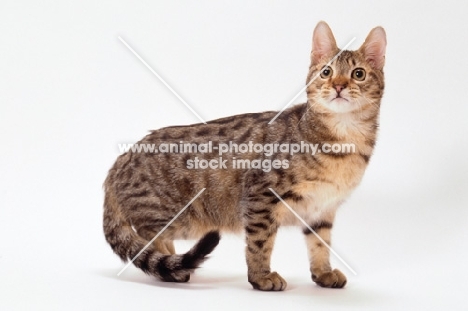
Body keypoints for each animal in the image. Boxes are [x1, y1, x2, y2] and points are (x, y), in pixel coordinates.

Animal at [104, 22, 386, 292]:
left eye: (358, 74)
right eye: (326, 72)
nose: (338, 86)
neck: (344, 140)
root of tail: (121, 159)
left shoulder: (322, 209)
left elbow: (320, 244)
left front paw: (323, 273)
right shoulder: (260, 196)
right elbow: (260, 243)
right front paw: (261, 277)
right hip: (180, 218)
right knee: (148, 238)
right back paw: (174, 267)